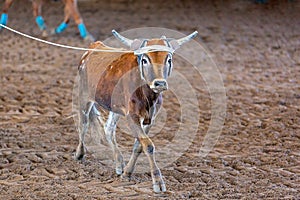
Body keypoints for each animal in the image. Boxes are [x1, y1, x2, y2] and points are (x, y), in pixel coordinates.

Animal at [74, 29, 197, 192]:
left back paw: (119, 163)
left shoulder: (150, 119)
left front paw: (127, 173)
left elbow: (139, 145)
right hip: (84, 97)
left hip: (114, 107)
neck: (147, 94)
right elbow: (148, 144)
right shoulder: (131, 116)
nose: (159, 83)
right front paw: (158, 182)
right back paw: (79, 154)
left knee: (108, 129)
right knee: (83, 124)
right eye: (145, 59)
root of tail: (93, 47)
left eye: (169, 59)